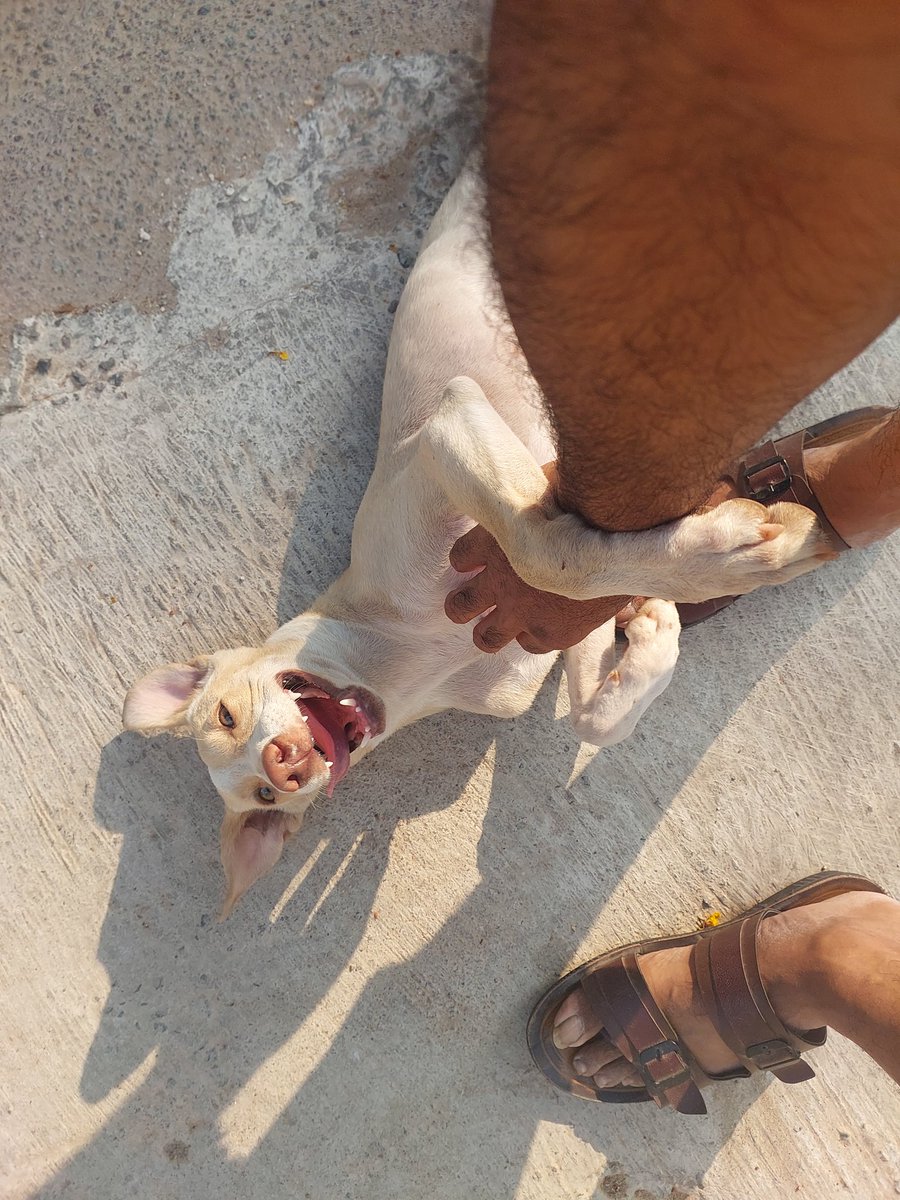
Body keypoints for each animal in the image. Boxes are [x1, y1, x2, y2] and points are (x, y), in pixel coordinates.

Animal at [123, 157, 830, 907]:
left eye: (227, 716)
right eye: (264, 799)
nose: (283, 766)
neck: (415, 662)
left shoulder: (451, 422)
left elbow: (545, 553)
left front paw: (728, 556)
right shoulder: (534, 644)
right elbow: (592, 709)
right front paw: (656, 629)